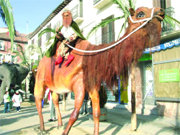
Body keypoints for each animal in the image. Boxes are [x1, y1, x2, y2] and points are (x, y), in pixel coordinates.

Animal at [33, 6, 165, 135]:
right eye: (140, 14)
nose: (160, 11)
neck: (94, 59)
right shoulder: (79, 84)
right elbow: (74, 114)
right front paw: (64, 132)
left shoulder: (93, 84)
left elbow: (96, 113)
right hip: (40, 79)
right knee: (38, 100)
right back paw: (42, 128)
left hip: (55, 86)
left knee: (55, 100)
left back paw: (59, 124)